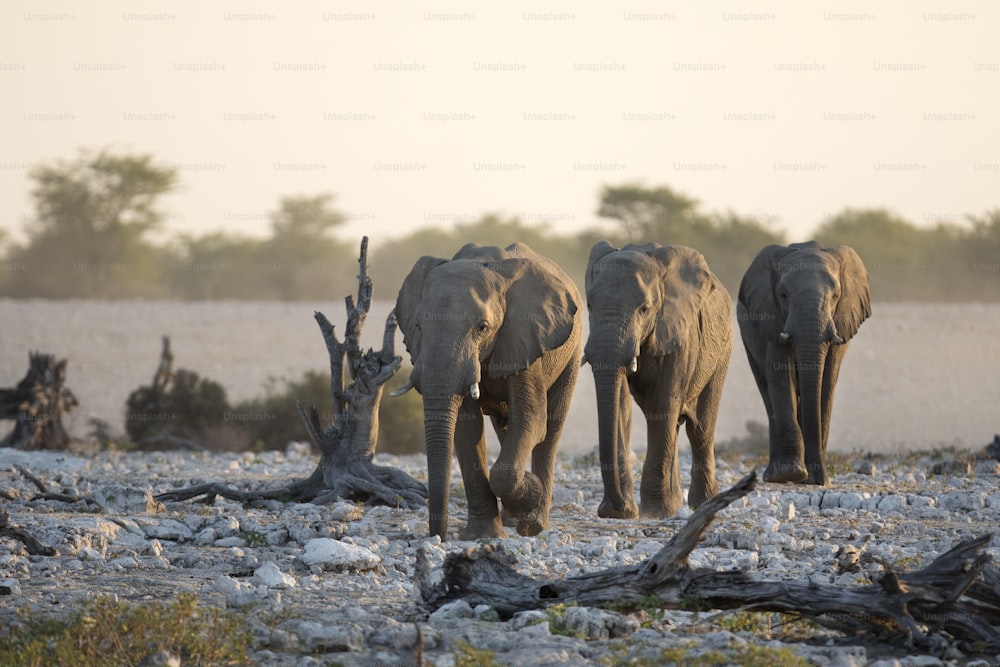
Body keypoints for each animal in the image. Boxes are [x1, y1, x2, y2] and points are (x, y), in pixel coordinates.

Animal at [392, 243, 584, 540]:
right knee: (505, 428)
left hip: (571, 352)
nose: (438, 536)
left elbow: (532, 420)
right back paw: (512, 516)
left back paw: (534, 522)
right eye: (418, 326)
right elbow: (466, 427)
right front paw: (483, 536)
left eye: (482, 328)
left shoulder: (525, 335)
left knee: (550, 430)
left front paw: (530, 491)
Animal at [584, 241, 732, 520]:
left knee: (699, 429)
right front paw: (627, 512)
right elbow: (621, 407)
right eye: (588, 306)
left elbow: (664, 406)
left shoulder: (681, 334)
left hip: (722, 352)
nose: (613, 508)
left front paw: (653, 512)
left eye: (644, 310)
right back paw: (676, 504)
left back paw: (703, 503)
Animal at [740, 240, 872, 486]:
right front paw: (789, 474)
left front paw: (814, 478)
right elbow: (781, 380)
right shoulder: (771, 318)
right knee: (767, 394)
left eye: (836, 295)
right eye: (783, 295)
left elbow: (826, 384)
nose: (819, 480)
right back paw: (775, 475)